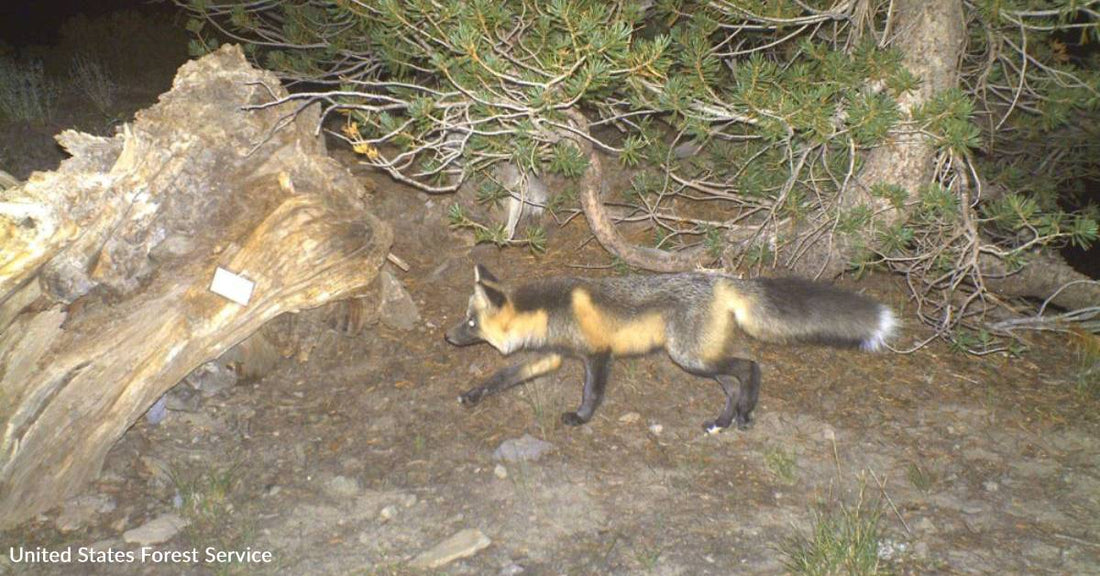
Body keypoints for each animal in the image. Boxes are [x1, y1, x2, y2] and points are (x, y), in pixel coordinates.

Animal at [445, 264, 895, 433]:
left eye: (470, 323)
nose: (448, 337)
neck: (549, 309)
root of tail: (722, 278)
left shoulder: (598, 355)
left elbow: (592, 393)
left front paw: (581, 418)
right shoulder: (548, 356)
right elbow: (501, 378)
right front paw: (472, 395)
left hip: (689, 357)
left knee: (750, 367)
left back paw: (746, 414)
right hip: (698, 359)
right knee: (733, 381)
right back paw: (723, 420)